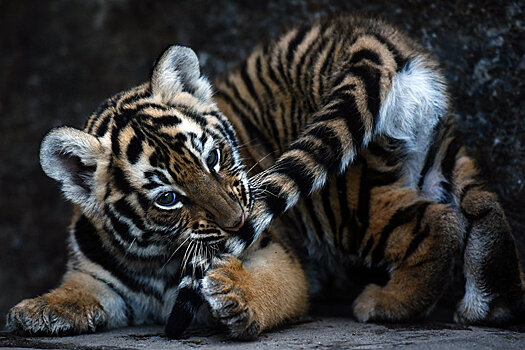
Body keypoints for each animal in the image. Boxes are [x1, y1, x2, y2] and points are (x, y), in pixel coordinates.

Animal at [5, 15, 524, 340]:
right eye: (168, 198)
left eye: (214, 158)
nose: (238, 222)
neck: (155, 256)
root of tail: (361, 34)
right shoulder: (100, 280)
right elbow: (78, 292)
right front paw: (34, 311)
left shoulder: (276, 249)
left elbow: (272, 285)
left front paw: (238, 298)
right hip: (438, 153)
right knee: (482, 209)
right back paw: (490, 305)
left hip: (342, 202)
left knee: (439, 223)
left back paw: (385, 304)